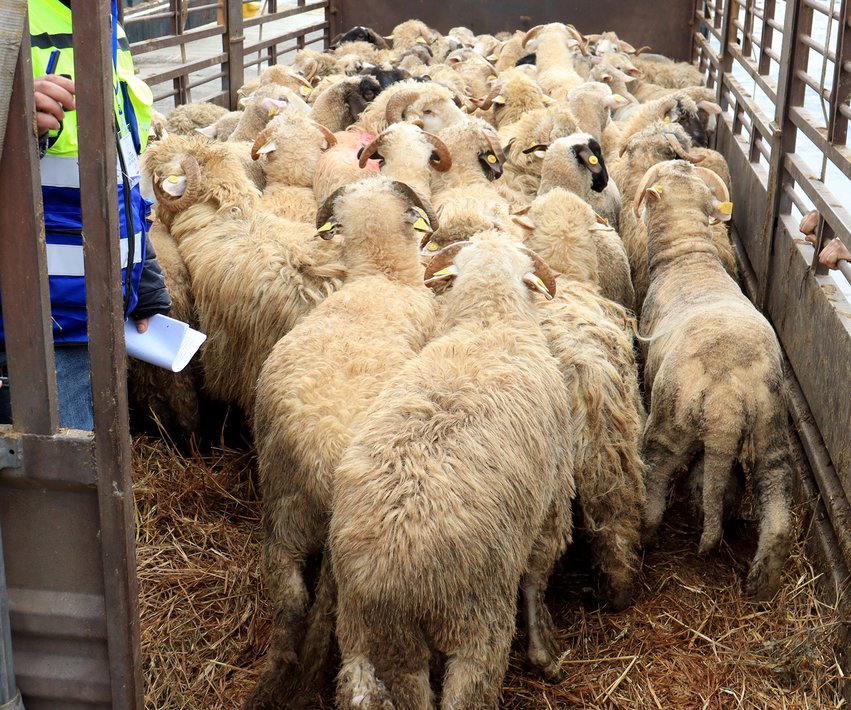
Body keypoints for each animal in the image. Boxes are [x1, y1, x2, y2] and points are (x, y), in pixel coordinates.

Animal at [246, 177, 439, 709]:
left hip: (282, 512)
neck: (380, 276)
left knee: (291, 605)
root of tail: (319, 459)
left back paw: (271, 686)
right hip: (336, 551)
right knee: (324, 620)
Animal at [331, 234, 575, 709]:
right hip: (476, 622)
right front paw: (546, 655)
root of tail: (385, 578)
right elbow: (536, 578)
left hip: (364, 639)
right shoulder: (553, 497)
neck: (487, 326)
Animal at [635, 159, 792, 600]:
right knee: (777, 501)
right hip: (771, 424)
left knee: (654, 480)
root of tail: (727, 396)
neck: (690, 259)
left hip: (668, 420)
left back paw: (644, 541)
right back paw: (761, 583)